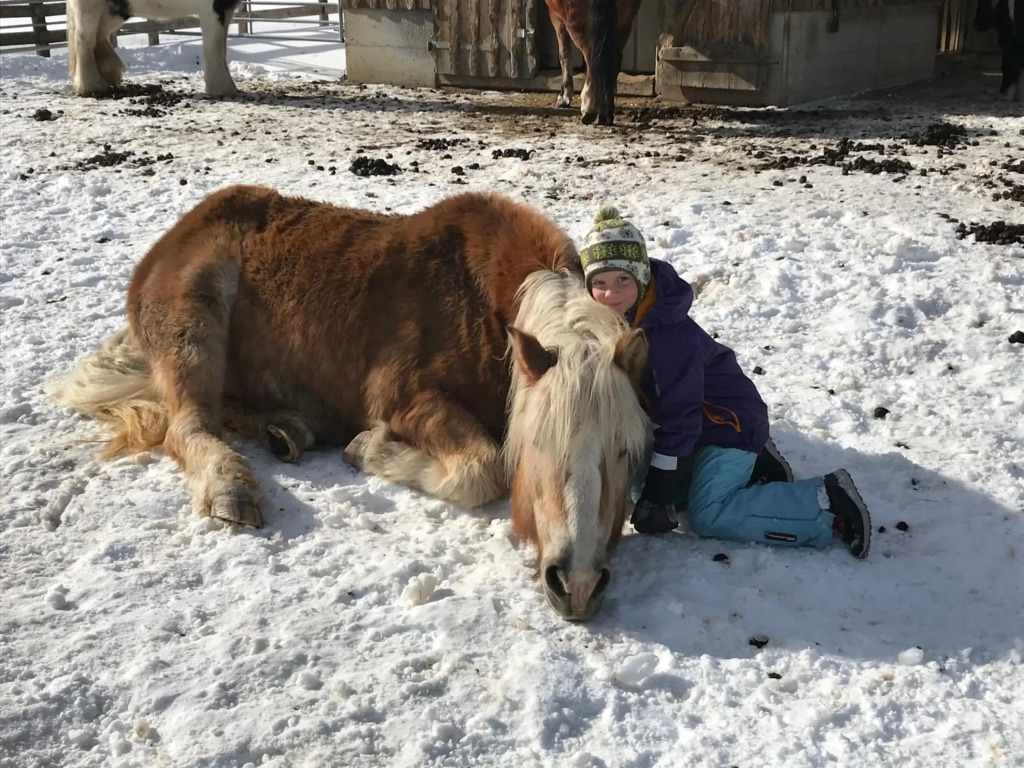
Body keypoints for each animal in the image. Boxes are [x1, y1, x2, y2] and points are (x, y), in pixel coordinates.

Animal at [51, 187, 651, 621]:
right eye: (538, 447)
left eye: (625, 454)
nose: (578, 584)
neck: (483, 309)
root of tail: (173, 236)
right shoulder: (406, 399)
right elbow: (482, 469)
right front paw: (369, 448)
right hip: (195, 322)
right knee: (189, 424)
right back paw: (231, 485)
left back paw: (288, 429)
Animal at [67, 0, 240, 97]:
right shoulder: (213, 10)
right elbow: (214, 47)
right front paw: (221, 88)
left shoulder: (226, 9)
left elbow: (222, 48)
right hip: (91, 8)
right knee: (84, 40)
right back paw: (93, 85)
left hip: (116, 9)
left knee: (99, 36)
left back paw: (108, 74)